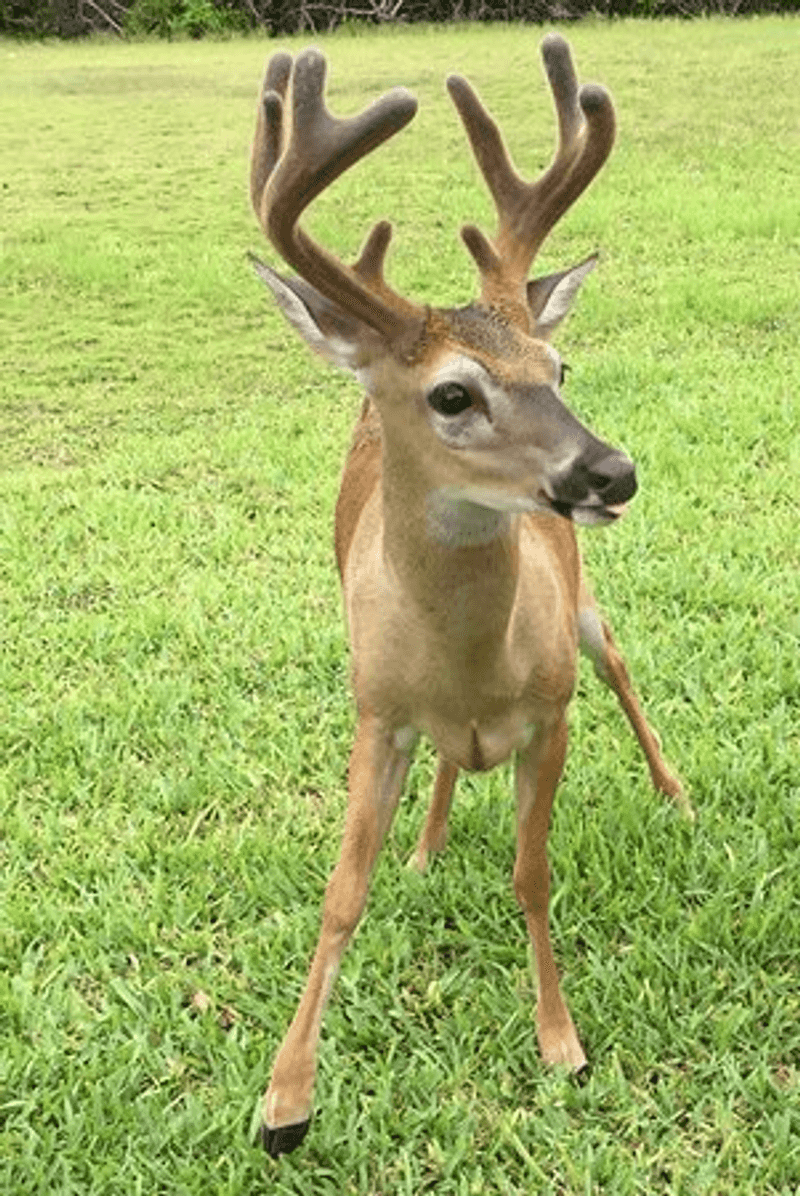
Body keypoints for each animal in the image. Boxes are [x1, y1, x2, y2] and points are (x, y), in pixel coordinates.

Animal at [248, 35, 686, 1158]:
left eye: (558, 365)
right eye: (453, 393)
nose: (611, 471)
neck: (471, 664)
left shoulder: (551, 709)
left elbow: (531, 875)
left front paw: (560, 1041)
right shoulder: (374, 711)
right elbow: (340, 894)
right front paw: (284, 1100)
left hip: (586, 616)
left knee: (622, 661)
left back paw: (672, 788)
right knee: (448, 769)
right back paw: (428, 842)